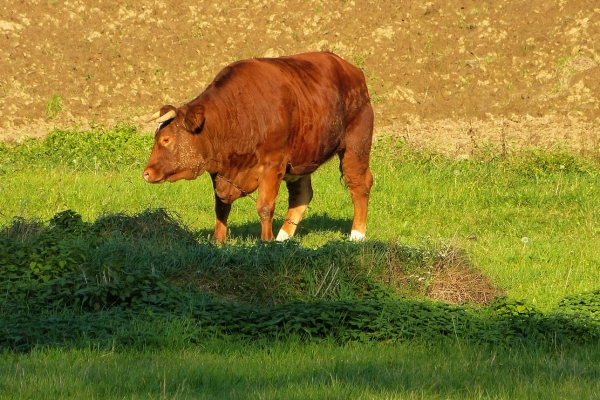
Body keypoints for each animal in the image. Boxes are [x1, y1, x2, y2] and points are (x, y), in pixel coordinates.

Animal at [142, 51, 372, 242]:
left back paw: (357, 235)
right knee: (302, 194)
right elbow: (221, 207)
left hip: (356, 145)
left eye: (166, 139)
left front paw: (265, 242)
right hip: (302, 156)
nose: (146, 173)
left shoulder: (273, 163)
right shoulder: (220, 171)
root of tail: (349, 68)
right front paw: (218, 240)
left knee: (359, 183)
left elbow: (265, 206)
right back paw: (283, 239)